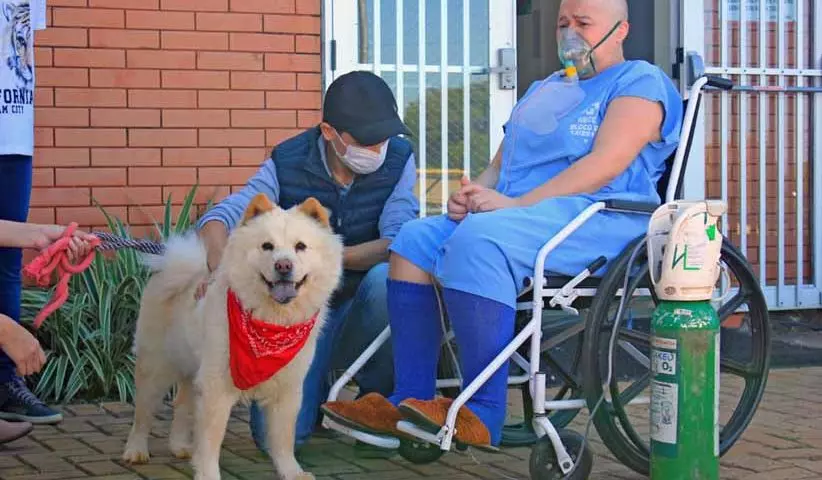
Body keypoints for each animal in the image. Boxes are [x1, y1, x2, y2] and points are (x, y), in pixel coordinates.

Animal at [122, 194, 343, 480]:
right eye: (267, 246)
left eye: (301, 246)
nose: (283, 265)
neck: (271, 323)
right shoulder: (217, 387)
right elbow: (210, 440)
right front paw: (207, 473)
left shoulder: (288, 387)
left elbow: (284, 437)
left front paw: (292, 472)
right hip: (157, 366)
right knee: (143, 412)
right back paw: (136, 451)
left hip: (192, 368)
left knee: (182, 403)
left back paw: (180, 446)